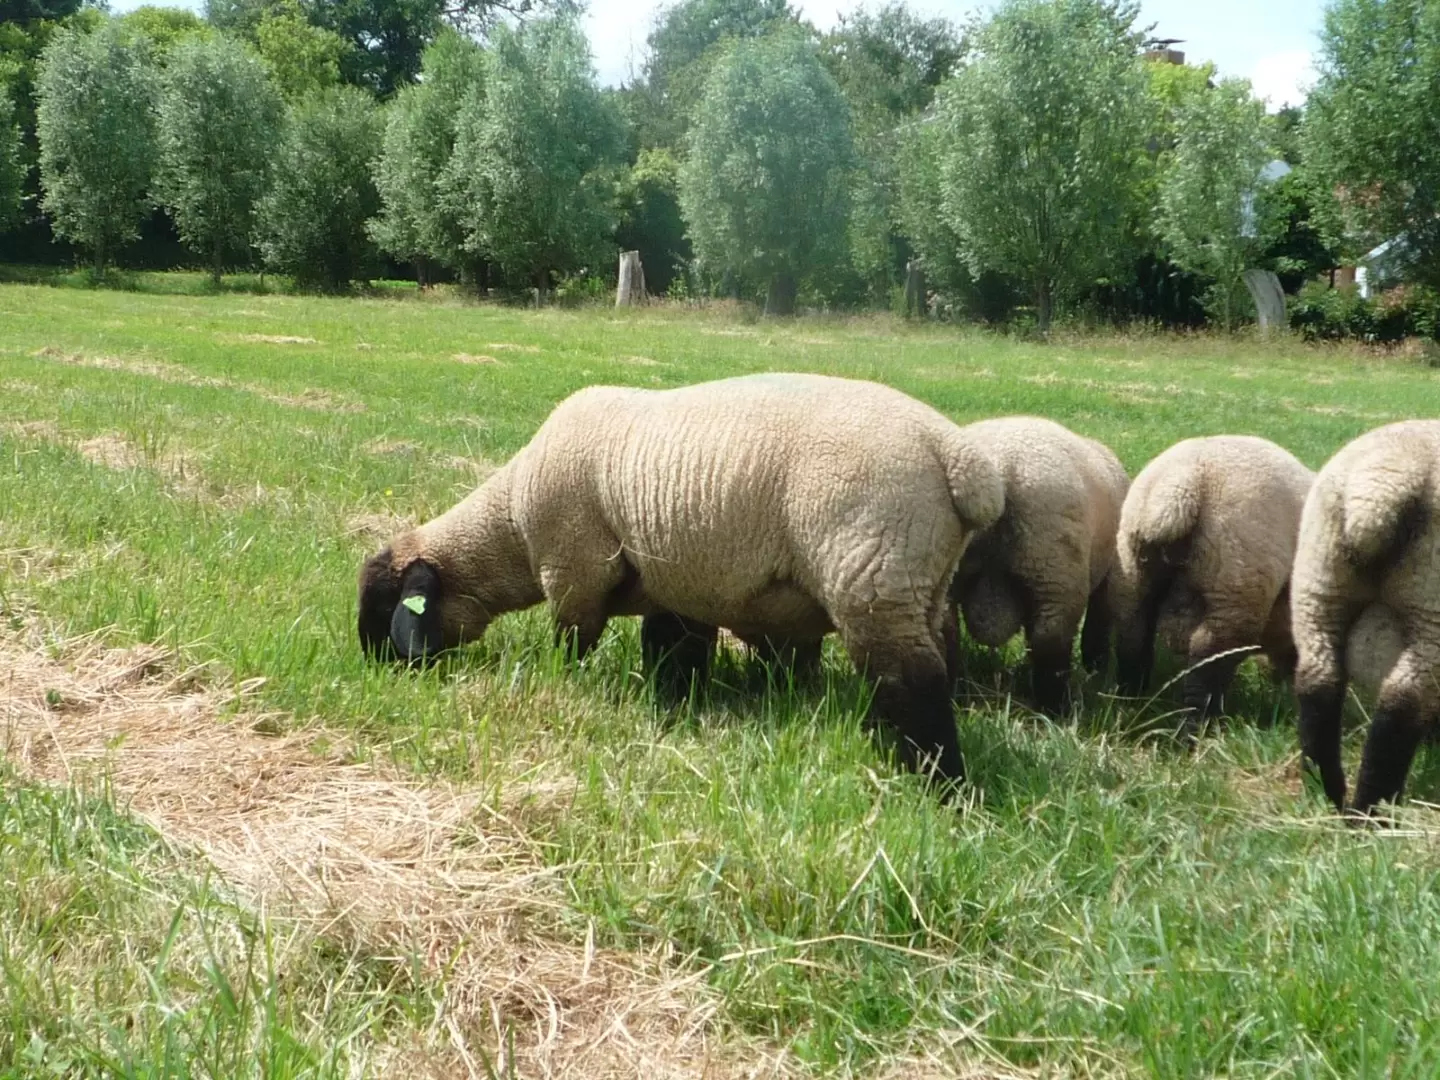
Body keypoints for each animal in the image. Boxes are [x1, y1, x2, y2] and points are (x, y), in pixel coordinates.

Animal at [357, 377, 1002, 789]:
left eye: (384, 607)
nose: (373, 671)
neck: (509, 524)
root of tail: (958, 458)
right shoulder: (677, 582)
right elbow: (673, 649)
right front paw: (673, 702)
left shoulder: (575, 570)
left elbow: (571, 643)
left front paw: (563, 686)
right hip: (918, 579)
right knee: (926, 663)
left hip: (870, 571)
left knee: (915, 680)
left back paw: (937, 785)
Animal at [950, 417, 1128, 714]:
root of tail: (1001, 468)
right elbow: (1098, 623)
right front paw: (1096, 668)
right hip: (1055, 575)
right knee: (1051, 643)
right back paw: (1056, 710)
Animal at [1290, 417, 1440, 817]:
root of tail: (1376, 490)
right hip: (1430, 605)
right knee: (1402, 701)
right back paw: (1371, 810)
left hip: (1319, 584)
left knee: (1318, 682)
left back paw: (1326, 793)